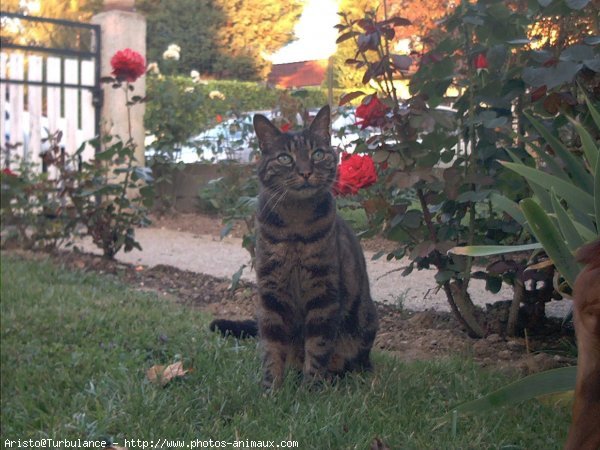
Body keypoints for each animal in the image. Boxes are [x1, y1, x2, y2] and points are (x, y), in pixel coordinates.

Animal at [212, 105, 380, 390]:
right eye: (284, 158)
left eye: (318, 154)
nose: (305, 171)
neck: (295, 225)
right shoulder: (271, 292)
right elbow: (272, 346)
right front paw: (271, 389)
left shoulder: (323, 291)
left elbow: (318, 345)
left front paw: (311, 389)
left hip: (365, 322)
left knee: (355, 360)